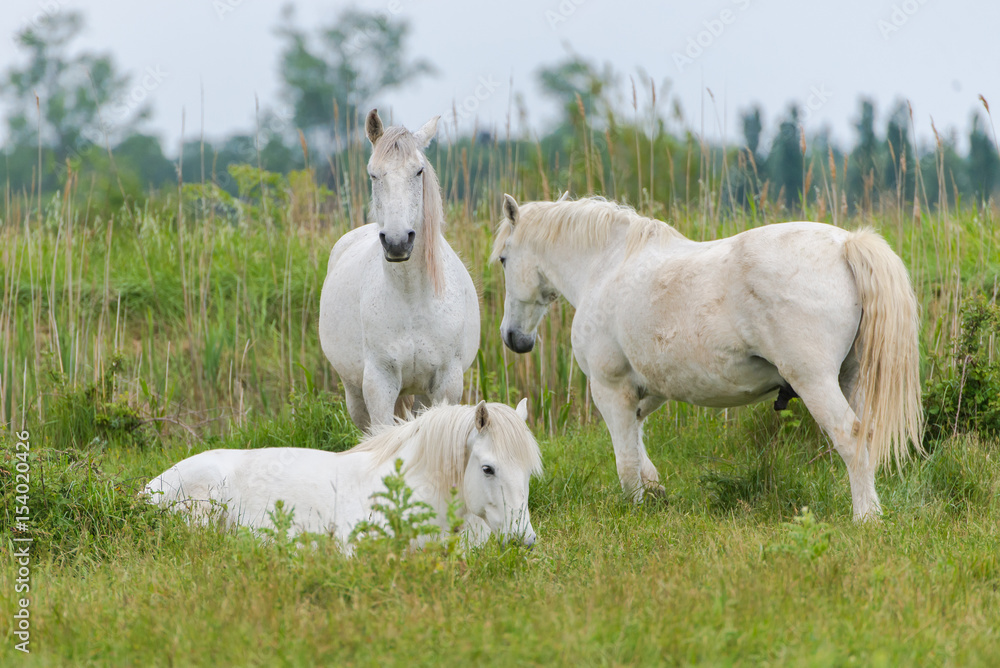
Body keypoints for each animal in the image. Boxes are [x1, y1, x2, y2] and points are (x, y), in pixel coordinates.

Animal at [318, 109, 480, 430]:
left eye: (418, 172)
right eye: (373, 174)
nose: (397, 242)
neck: (411, 298)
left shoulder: (446, 384)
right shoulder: (379, 386)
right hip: (355, 393)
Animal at [492, 195, 923, 520]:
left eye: (503, 259)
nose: (514, 339)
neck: (607, 266)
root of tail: (846, 245)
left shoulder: (610, 389)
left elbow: (626, 462)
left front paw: (635, 513)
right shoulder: (646, 392)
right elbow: (639, 447)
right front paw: (657, 494)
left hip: (814, 381)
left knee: (850, 437)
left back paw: (864, 518)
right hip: (854, 378)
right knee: (866, 437)